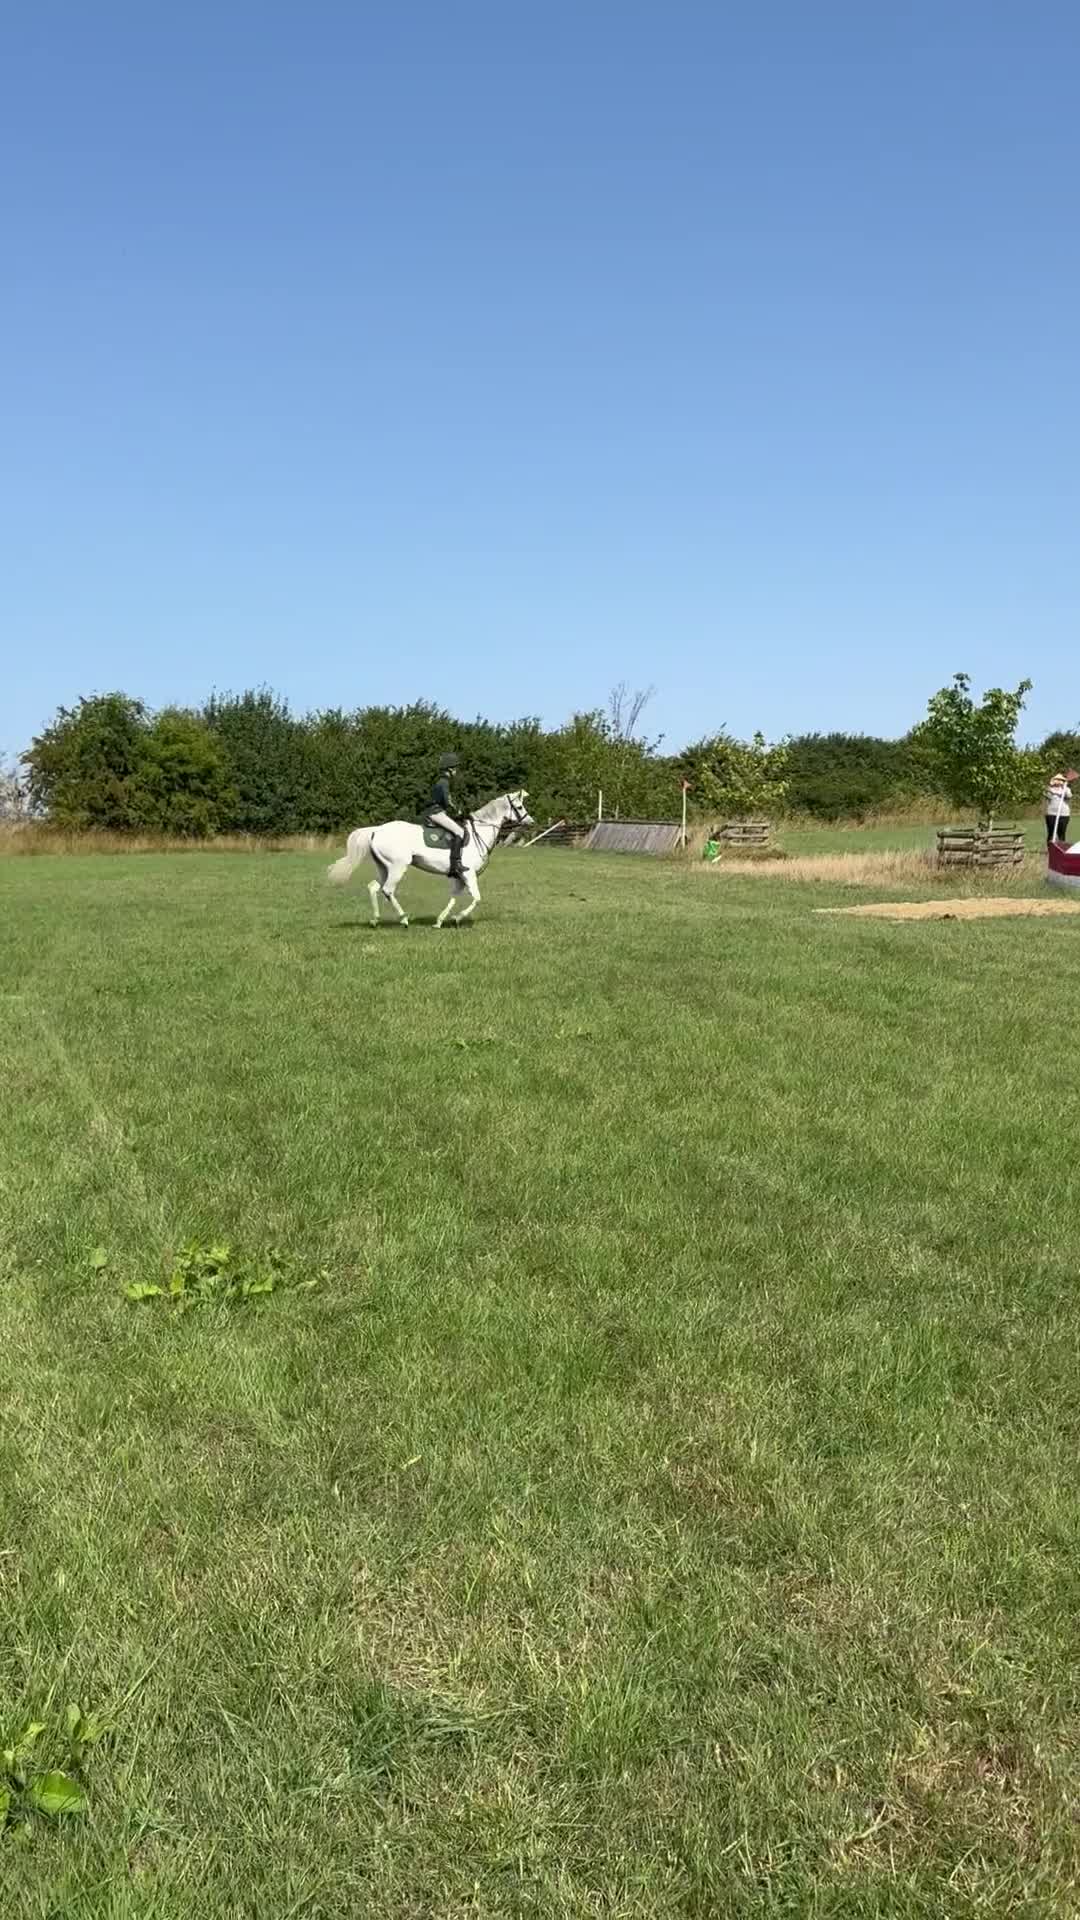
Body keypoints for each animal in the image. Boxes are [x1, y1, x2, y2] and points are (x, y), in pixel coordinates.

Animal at [327, 790, 534, 927]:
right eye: (520, 806)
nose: (531, 822)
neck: (478, 833)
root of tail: (376, 830)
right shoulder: (469, 875)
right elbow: (476, 898)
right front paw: (457, 918)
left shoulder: (460, 877)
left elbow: (454, 898)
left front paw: (440, 921)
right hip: (398, 867)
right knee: (388, 890)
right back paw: (404, 919)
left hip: (384, 868)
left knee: (373, 887)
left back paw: (375, 920)